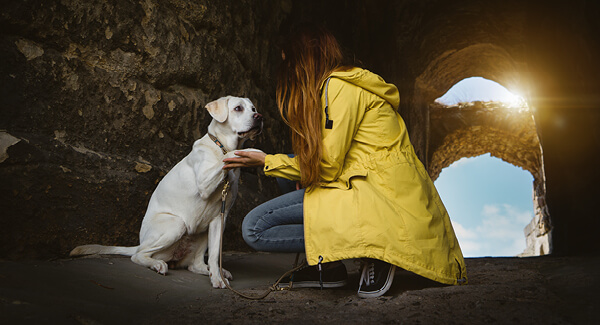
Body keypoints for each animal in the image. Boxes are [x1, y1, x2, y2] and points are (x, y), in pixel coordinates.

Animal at [71, 95, 262, 288]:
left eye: (253, 109)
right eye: (238, 108)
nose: (259, 117)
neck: (221, 145)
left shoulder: (219, 218)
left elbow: (215, 255)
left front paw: (217, 277)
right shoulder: (204, 183)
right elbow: (227, 157)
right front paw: (250, 151)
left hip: (202, 232)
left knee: (196, 265)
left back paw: (213, 271)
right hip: (176, 224)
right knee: (138, 255)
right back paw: (156, 264)